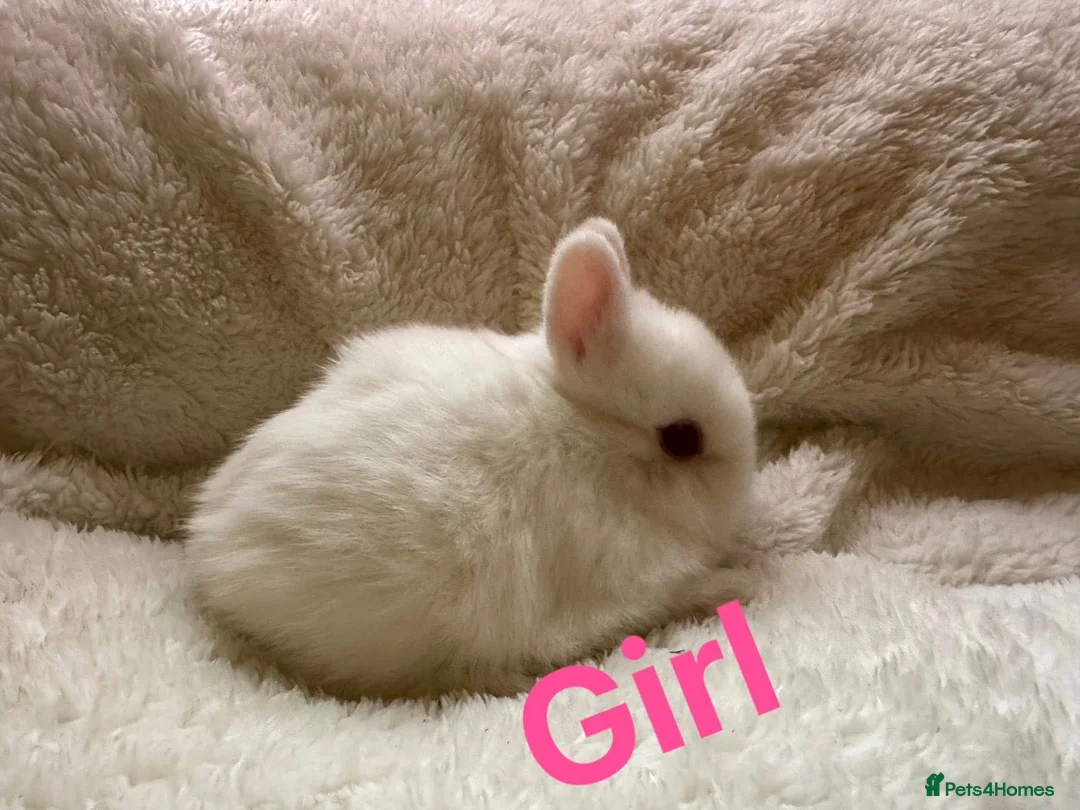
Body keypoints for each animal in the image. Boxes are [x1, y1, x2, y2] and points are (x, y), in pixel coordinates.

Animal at [184, 217, 758, 701]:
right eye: (682, 439)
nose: (744, 498)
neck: (594, 439)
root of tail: (211, 554)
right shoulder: (626, 576)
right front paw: (738, 586)